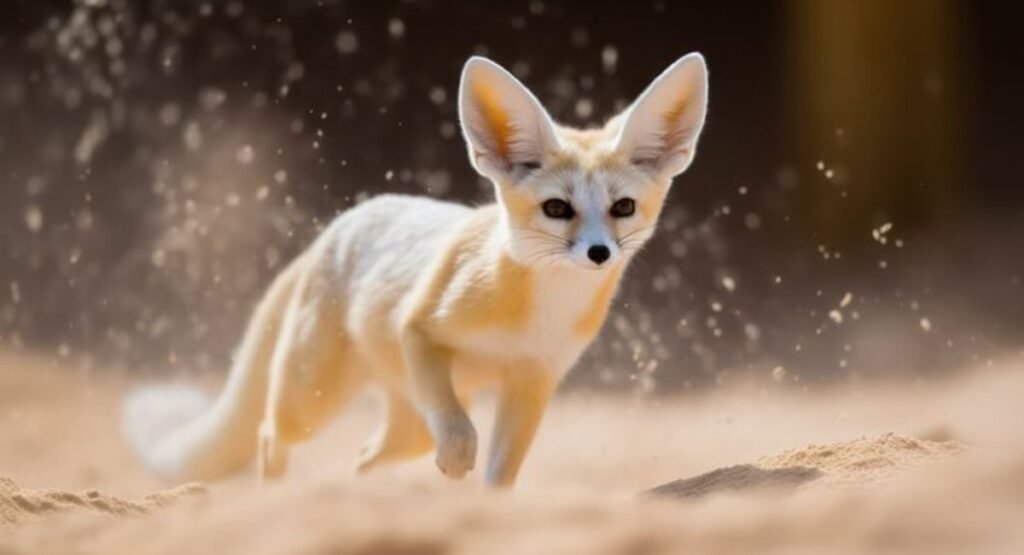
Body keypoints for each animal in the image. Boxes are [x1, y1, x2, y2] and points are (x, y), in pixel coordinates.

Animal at [124, 52, 709, 487]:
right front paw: (458, 457)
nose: (599, 253)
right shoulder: (420, 328)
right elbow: (458, 430)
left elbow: (499, 477)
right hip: (312, 399)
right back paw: (278, 498)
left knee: (363, 457)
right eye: (557, 209)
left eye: (623, 208)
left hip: (404, 430)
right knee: (272, 435)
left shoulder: (533, 380)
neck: (535, 311)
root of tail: (335, 229)